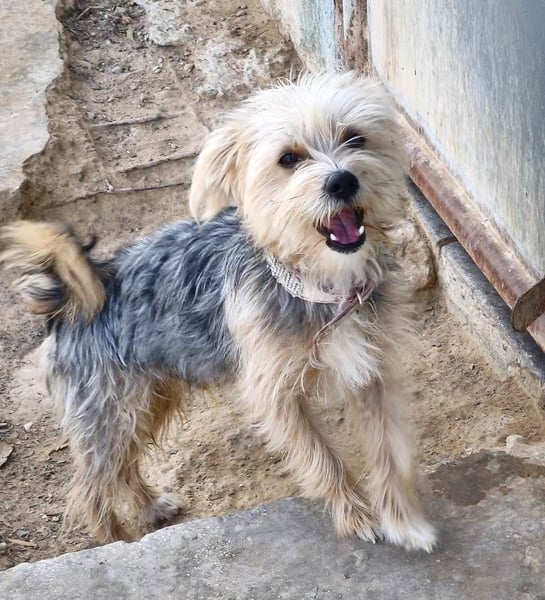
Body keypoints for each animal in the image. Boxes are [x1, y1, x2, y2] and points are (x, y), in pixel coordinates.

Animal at [0, 72, 436, 552]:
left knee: (123, 470)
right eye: (289, 159)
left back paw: (151, 508)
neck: (319, 288)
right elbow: (320, 458)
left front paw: (403, 521)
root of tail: (74, 297)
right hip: (109, 413)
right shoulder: (276, 395)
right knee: (90, 488)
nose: (342, 181)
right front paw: (355, 516)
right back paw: (115, 540)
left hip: (149, 399)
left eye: (355, 138)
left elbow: (391, 451)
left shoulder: (374, 376)